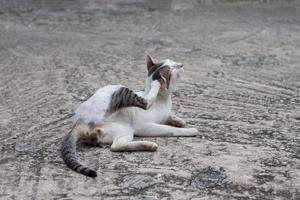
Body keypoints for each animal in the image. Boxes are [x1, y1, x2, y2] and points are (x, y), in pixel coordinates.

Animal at [61, 54, 199, 177]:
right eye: (172, 69)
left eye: (172, 61)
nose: (181, 64)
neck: (163, 101)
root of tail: (79, 121)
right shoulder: (144, 126)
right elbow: (170, 130)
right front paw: (189, 130)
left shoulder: (164, 115)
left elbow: (169, 117)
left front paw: (179, 120)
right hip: (121, 98)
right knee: (116, 144)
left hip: (122, 130)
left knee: (115, 144)